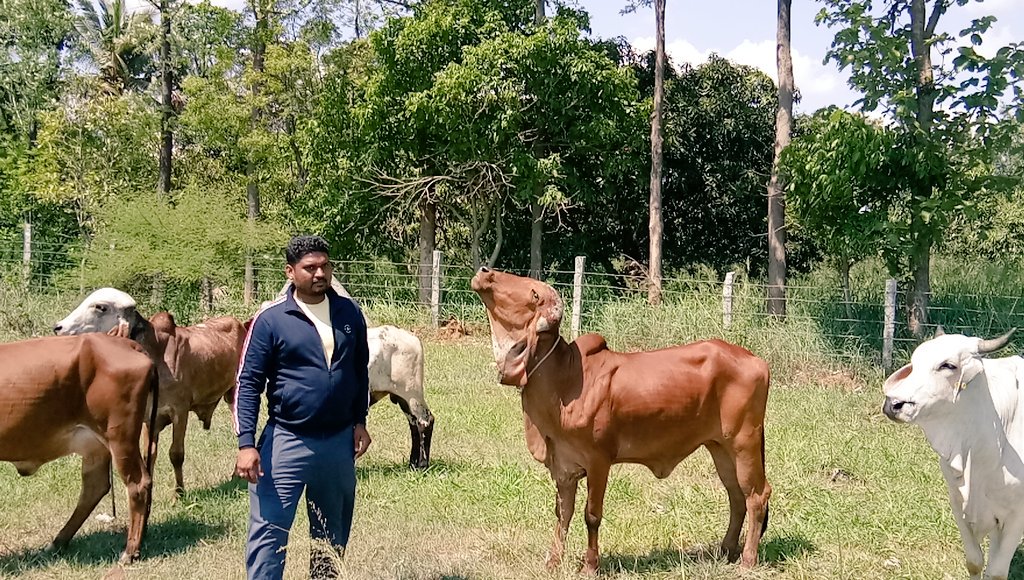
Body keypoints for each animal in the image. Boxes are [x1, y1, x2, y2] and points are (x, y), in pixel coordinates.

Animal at [0, 333, 158, 564]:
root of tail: (127, 343)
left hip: (120, 436)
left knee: (137, 483)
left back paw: (129, 551)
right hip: (97, 444)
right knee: (95, 487)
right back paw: (58, 543)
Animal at [54, 288, 246, 495]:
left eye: (100, 307)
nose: (58, 327)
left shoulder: (180, 411)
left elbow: (176, 454)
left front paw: (179, 493)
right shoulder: (149, 417)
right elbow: (149, 456)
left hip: (234, 393)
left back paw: (237, 474)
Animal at [470, 267, 771, 574]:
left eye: (534, 294)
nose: (485, 272)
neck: (564, 378)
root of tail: (756, 360)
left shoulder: (598, 460)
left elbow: (591, 515)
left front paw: (590, 564)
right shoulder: (564, 466)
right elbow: (562, 513)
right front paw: (553, 561)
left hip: (743, 442)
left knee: (757, 495)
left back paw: (748, 559)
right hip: (719, 447)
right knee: (736, 495)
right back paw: (726, 550)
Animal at [883, 326, 1021, 580]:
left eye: (947, 365)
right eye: (915, 362)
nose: (893, 404)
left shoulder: (1017, 516)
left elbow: (996, 572)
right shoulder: (958, 503)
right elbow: (975, 562)